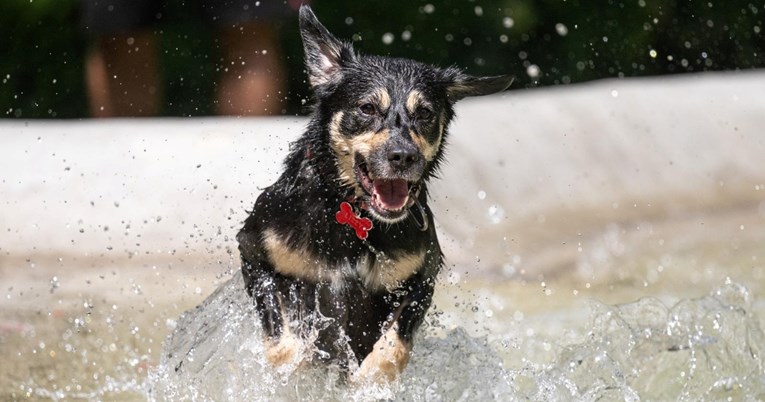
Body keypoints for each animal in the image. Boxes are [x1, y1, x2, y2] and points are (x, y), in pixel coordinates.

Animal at [237, 5, 512, 384]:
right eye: (367, 108)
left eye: (425, 113)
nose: (403, 156)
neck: (352, 214)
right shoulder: (254, 253)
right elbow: (281, 338)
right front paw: (297, 369)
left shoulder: (422, 275)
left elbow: (395, 345)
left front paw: (371, 377)